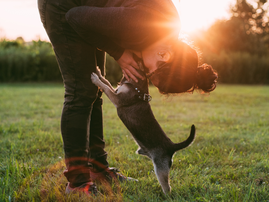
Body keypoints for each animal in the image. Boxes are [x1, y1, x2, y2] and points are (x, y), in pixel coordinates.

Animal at [90, 64, 195, 194]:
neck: (135, 85)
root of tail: (172, 146)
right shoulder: (116, 91)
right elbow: (106, 82)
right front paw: (99, 73)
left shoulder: (117, 98)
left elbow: (105, 87)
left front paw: (95, 79)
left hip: (160, 168)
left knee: (167, 187)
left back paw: (165, 195)